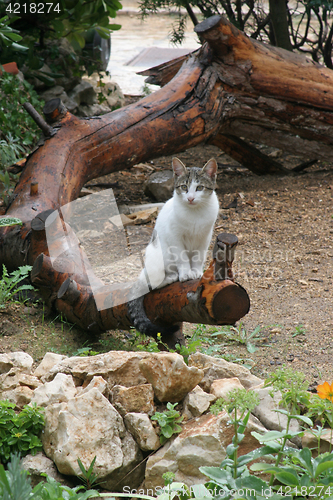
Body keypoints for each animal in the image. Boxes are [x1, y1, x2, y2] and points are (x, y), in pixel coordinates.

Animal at [126, 158, 218, 338]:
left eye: (199, 188)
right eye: (184, 187)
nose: (190, 198)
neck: (195, 213)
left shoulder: (205, 237)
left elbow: (198, 257)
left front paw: (197, 272)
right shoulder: (174, 235)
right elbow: (182, 258)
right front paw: (186, 274)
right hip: (157, 258)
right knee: (151, 285)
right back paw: (171, 277)